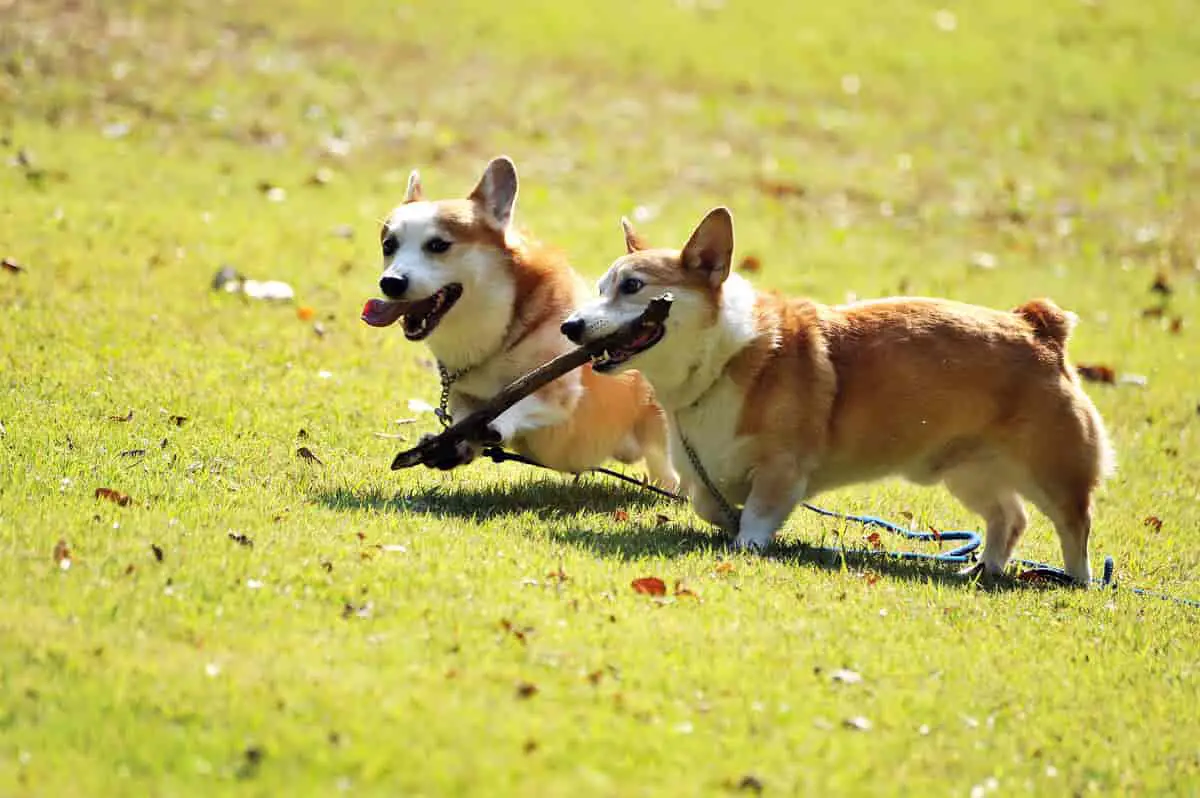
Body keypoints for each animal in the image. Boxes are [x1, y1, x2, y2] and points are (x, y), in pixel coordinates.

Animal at [360, 156, 676, 484]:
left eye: (438, 245)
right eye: (389, 246)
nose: (390, 283)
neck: (498, 333)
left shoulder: (558, 391)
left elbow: (520, 402)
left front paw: (493, 425)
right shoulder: (464, 396)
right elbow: (463, 417)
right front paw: (450, 445)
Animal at [564, 205, 1113, 578]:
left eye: (633, 286)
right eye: (601, 288)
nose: (571, 326)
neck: (720, 360)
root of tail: (1039, 328)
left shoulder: (783, 467)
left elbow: (759, 514)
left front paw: (747, 545)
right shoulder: (705, 473)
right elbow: (707, 503)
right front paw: (727, 521)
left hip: (1051, 469)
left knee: (1074, 523)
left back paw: (1076, 580)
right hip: (968, 471)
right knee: (1009, 518)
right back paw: (981, 570)